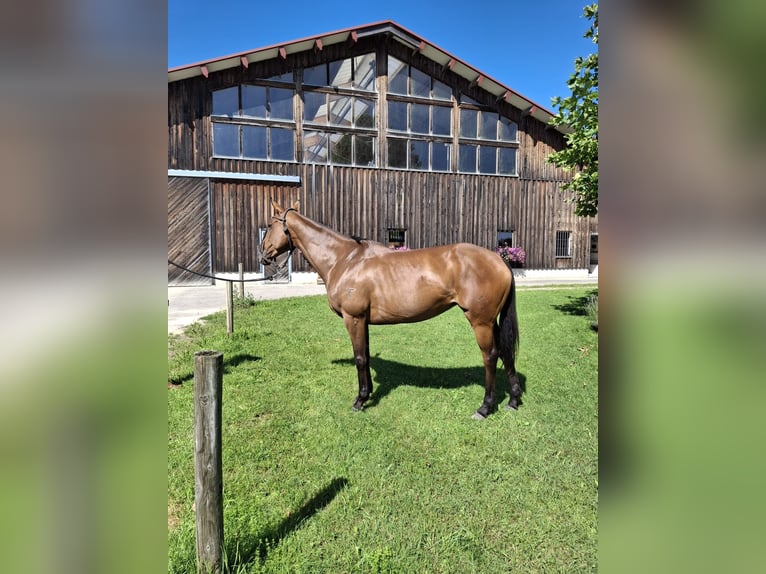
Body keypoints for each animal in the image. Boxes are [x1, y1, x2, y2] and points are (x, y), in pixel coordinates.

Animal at [260, 200, 521, 419]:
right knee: (506, 352)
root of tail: (499, 260)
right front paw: (368, 394)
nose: (263, 255)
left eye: (271, 224)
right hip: (493, 321)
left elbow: (360, 358)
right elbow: (365, 354)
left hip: (481, 322)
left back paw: (485, 407)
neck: (344, 260)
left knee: (491, 356)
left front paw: (359, 401)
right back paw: (513, 400)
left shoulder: (353, 318)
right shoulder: (363, 321)